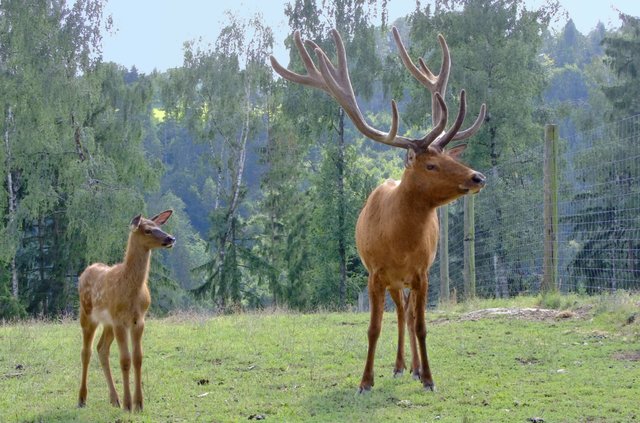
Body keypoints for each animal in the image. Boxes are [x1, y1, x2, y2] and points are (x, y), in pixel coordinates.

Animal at [77, 210, 175, 411]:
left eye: (159, 226)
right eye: (147, 230)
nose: (171, 238)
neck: (132, 290)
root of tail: (84, 272)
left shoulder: (139, 320)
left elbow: (137, 358)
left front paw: (139, 403)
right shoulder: (119, 320)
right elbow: (125, 360)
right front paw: (129, 404)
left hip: (108, 323)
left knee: (101, 349)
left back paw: (114, 399)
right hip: (87, 314)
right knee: (86, 352)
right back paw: (82, 399)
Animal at [271, 27, 486, 393]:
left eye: (449, 156)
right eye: (431, 164)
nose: (477, 176)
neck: (398, 243)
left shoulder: (422, 273)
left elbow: (422, 326)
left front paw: (429, 378)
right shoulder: (375, 273)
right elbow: (373, 328)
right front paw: (365, 381)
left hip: (409, 280)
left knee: (409, 314)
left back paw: (413, 368)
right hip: (392, 282)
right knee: (399, 313)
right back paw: (400, 366)